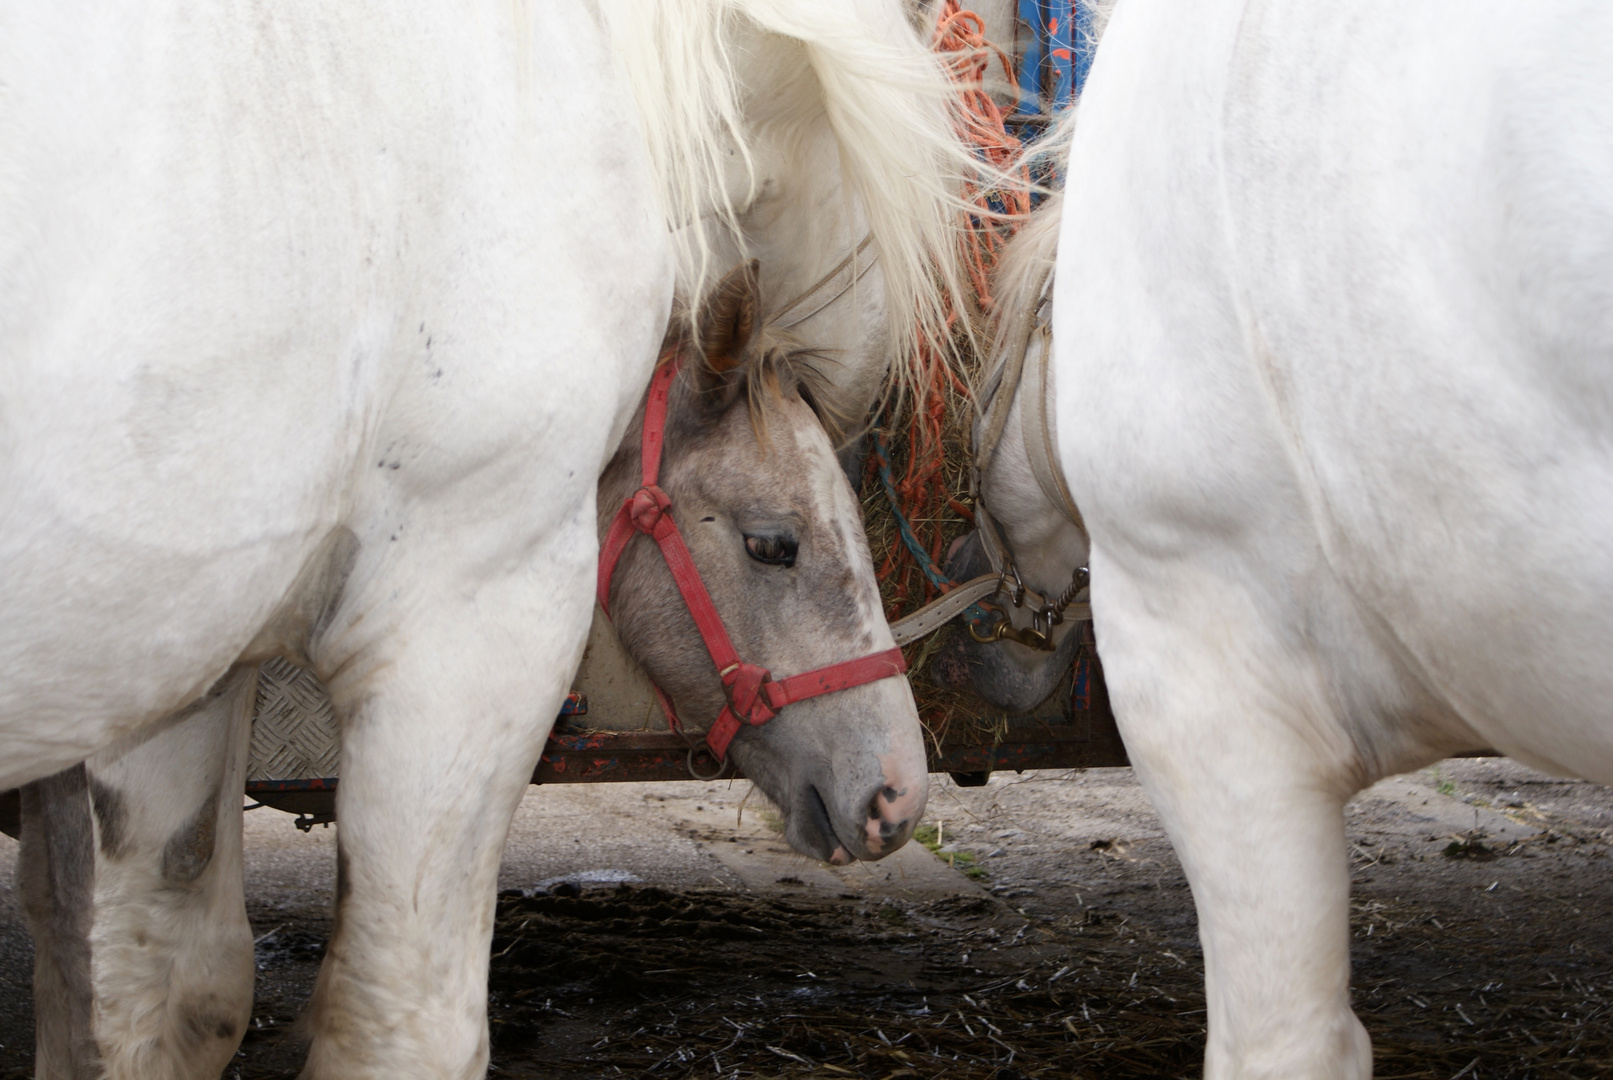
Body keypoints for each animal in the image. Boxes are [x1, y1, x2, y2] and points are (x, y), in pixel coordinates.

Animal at [6, 4, 974, 1076]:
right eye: (774, 544)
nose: (896, 797)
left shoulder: (176, 667)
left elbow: (165, 990)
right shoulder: (461, 631)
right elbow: (399, 1025)